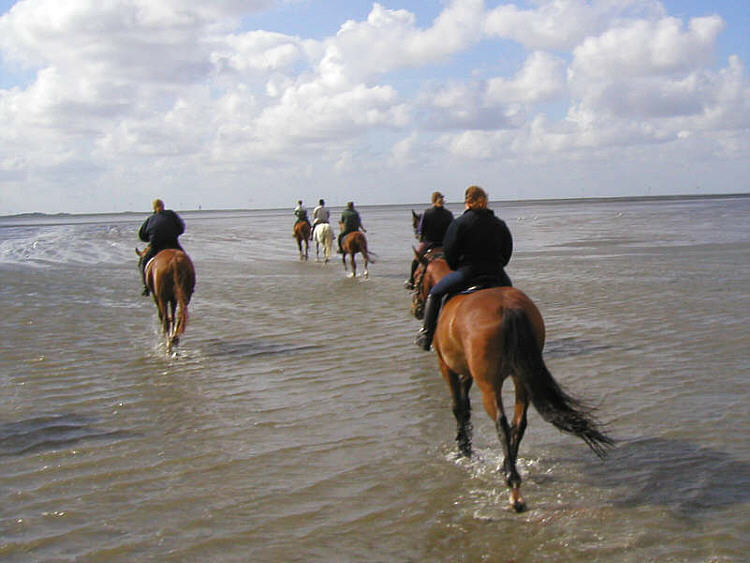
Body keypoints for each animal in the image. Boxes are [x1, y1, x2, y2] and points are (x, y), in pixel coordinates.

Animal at [411, 252, 613, 512]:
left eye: (417, 274)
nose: (415, 308)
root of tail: (509, 308)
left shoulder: (447, 367)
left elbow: (457, 407)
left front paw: (462, 449)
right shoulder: (467, 373)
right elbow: (466, 408)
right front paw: (466, 444)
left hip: (489, 384)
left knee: (501, 423)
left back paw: (513, 488)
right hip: (521, 378)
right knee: (519, 423)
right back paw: (507, 467)